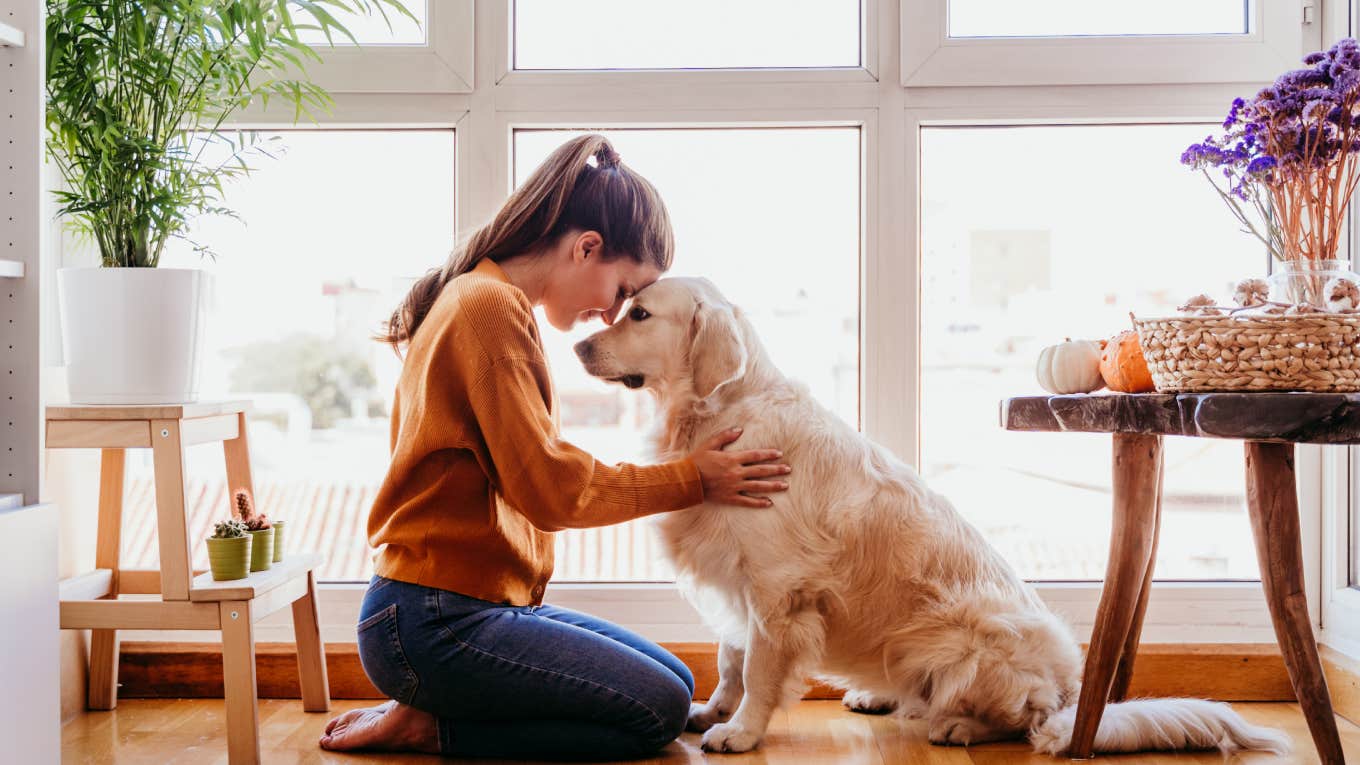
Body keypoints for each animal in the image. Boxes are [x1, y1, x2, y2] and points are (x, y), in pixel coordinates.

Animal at [571, 273, 1283, 751]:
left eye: (639, 314)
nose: (576, 347)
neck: (718, 413)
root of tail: (1072, 692)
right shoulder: (734, 576)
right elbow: (728, 657)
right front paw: (714, 711)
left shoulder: (776, 588)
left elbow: (760, 665)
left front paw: (741, 732)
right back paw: (877, 694)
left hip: (963, 639)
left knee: (1023, 720)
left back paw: (959, 725)